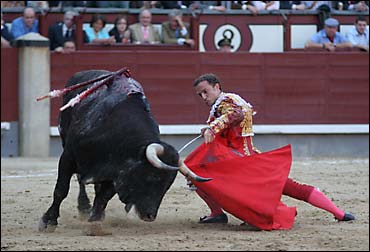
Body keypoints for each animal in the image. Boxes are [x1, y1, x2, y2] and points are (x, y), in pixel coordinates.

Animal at [39, 67, 211, 232]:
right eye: (152, 177)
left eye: (167, 185)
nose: (150, 216)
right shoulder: (68, 157)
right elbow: (61, 190)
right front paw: (48, 221)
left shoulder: (115, 173)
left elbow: (103, 197)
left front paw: (95, 222)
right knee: (80, 180)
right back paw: (84, 206)